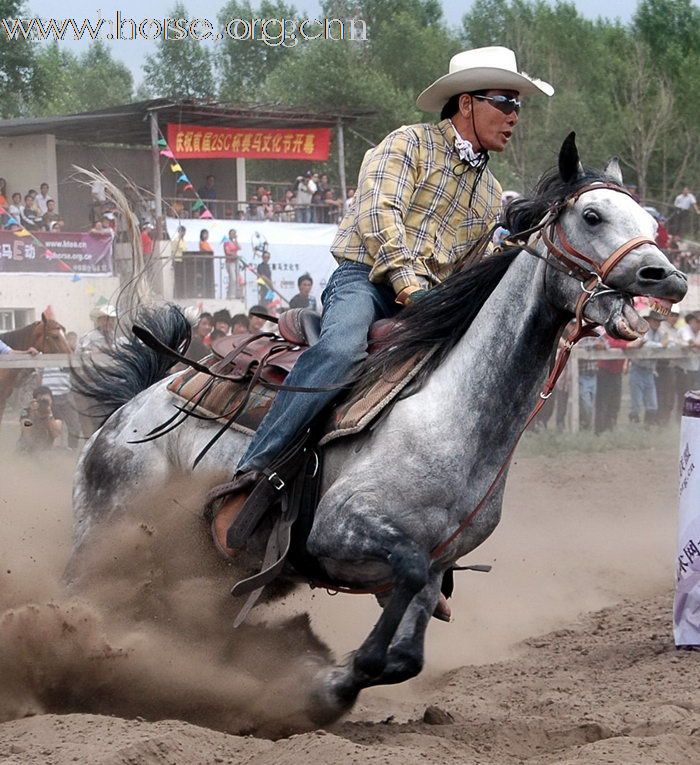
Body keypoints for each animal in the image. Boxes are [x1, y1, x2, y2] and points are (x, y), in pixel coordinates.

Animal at [72, 137, 688, 724]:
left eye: (648, 218)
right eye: (592, 216)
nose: (669, 277)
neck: (451, 415)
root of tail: (127, 411)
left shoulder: (435, 564)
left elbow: (407, 656)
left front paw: (333, 681)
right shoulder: (339, 534)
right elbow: (392, 609)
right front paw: (334, 679)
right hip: (105, 534)